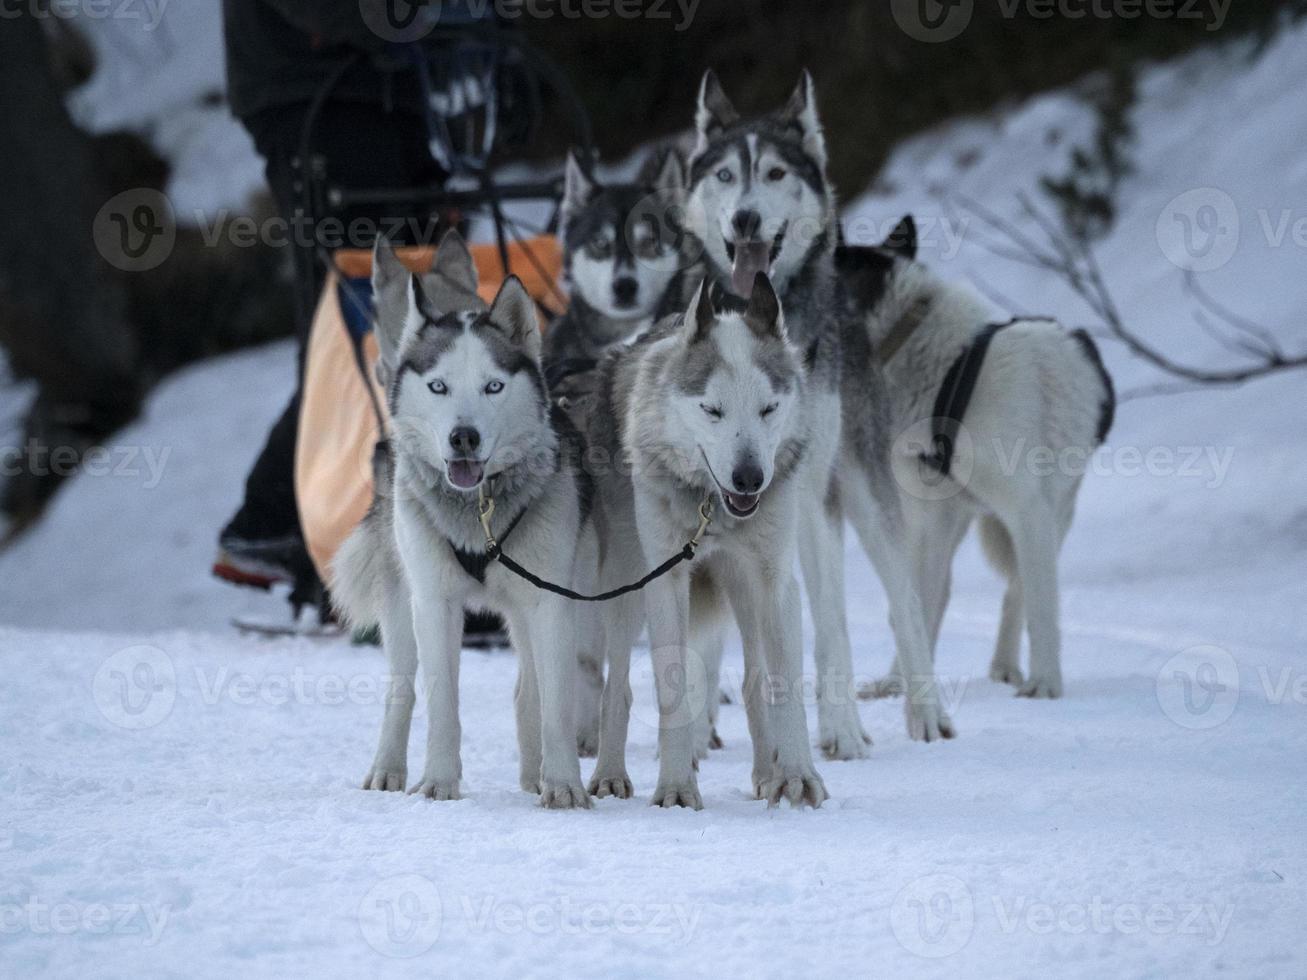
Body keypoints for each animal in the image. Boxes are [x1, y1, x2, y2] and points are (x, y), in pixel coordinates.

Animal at [331, 233, 593, 810]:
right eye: (438, 387)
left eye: (494, 387)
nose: (464, 437)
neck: (480, 511)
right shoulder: (435, 602)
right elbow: (442, 704)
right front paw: (438, 782)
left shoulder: (551, 602)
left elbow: (559, 703)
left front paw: (563, 784)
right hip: (402, 606)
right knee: (402, 689)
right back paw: (387, 768)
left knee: (531, 689)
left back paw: (536, 773)